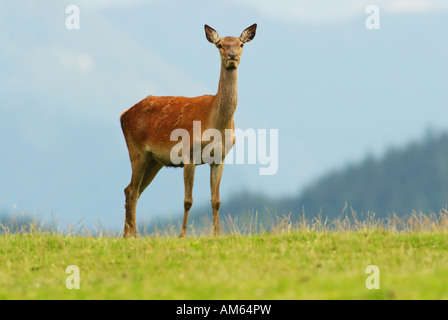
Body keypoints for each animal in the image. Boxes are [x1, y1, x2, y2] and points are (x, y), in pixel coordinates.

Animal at [121, 23, 258, 238]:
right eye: (220, 44)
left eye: (241, 43)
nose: (232, 55)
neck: (215, 124)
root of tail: (123, 115)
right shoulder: (188, 155)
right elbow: (188, 201)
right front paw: (182, 234)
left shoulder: (220, 158)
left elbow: (216, 201)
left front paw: (217, 234)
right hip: (136, 150)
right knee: (132, 190)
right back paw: (132, 234)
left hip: (154, 161)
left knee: (133, 190)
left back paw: (128, 234)